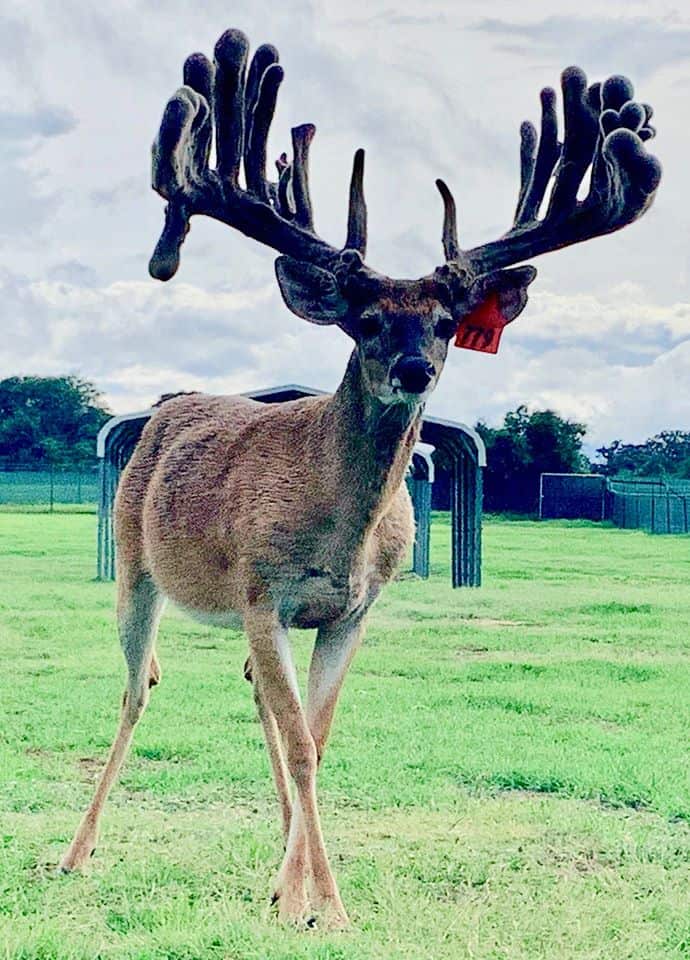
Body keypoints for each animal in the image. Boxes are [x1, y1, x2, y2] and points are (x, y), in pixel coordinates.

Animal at [58, 28, 660, 928]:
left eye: (446, 322)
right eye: (367, 319)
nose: (415, 369)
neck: (338, 530)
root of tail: (169, 406)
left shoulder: (351, 610)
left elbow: (319, 735)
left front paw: (296, 892)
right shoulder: (261, 589)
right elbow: (306, 744)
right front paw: (329, 907)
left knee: (255, 696)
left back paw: (272, 861)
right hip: (138, 568)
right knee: (140, 687)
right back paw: (76, 852)